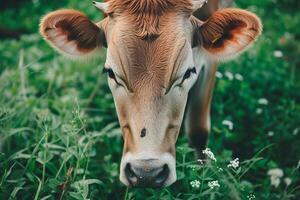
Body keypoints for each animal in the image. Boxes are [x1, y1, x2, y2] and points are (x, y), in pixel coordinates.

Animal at [39, 0, 260, 188]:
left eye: (188, 72)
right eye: (110, 72)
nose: (147, 173)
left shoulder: (208, 63)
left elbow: (198, 130)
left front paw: (204, 178)